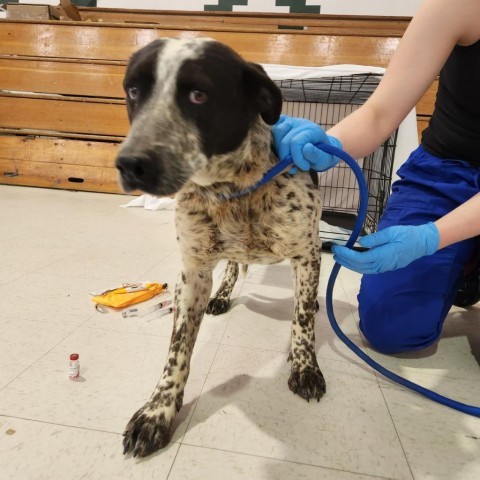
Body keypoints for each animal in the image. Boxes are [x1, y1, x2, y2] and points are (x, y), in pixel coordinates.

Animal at [116, 37, 326, 458]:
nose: (129, 164)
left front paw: (304, 366)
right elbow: (177, 350)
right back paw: (225, 293)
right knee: (232, 265)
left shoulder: (307, 255)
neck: (232, 190)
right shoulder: (192, 275)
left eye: (198, 94)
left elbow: (302, 320)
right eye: (134, 90)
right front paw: (158, 410)